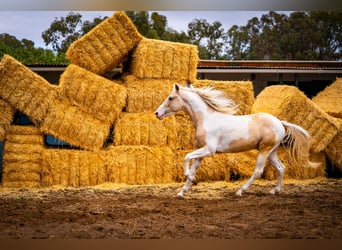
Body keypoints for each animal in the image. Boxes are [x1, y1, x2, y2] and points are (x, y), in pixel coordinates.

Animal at [154, 84, 320, 197]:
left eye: (170, 98)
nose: (157, 113)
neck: (206, 119)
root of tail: (280, 122)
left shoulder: (209, 150)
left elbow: (186, 157)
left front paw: (191, 180)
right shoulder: (201, 152)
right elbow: (192, 166)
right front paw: (182, 192)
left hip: (264, 150)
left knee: (258, 171)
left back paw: (240, 191)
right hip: (271, 152)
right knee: (281, 168)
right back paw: (275, 190)